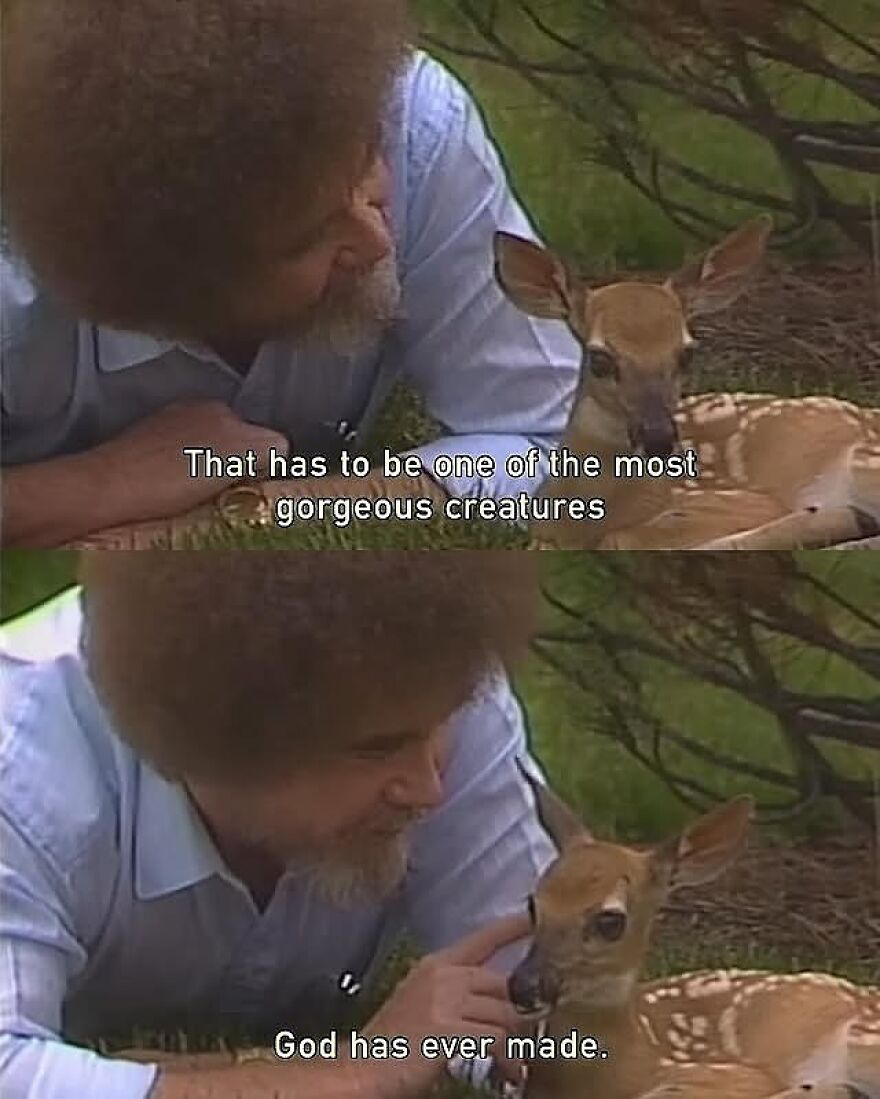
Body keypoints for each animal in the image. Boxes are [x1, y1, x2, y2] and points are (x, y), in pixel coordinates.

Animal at [494, 216, 880, 550]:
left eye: (686, 354)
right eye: (600, 358)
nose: (659, 438)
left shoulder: (733, 497)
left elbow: (624, 539)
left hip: (864, 464)